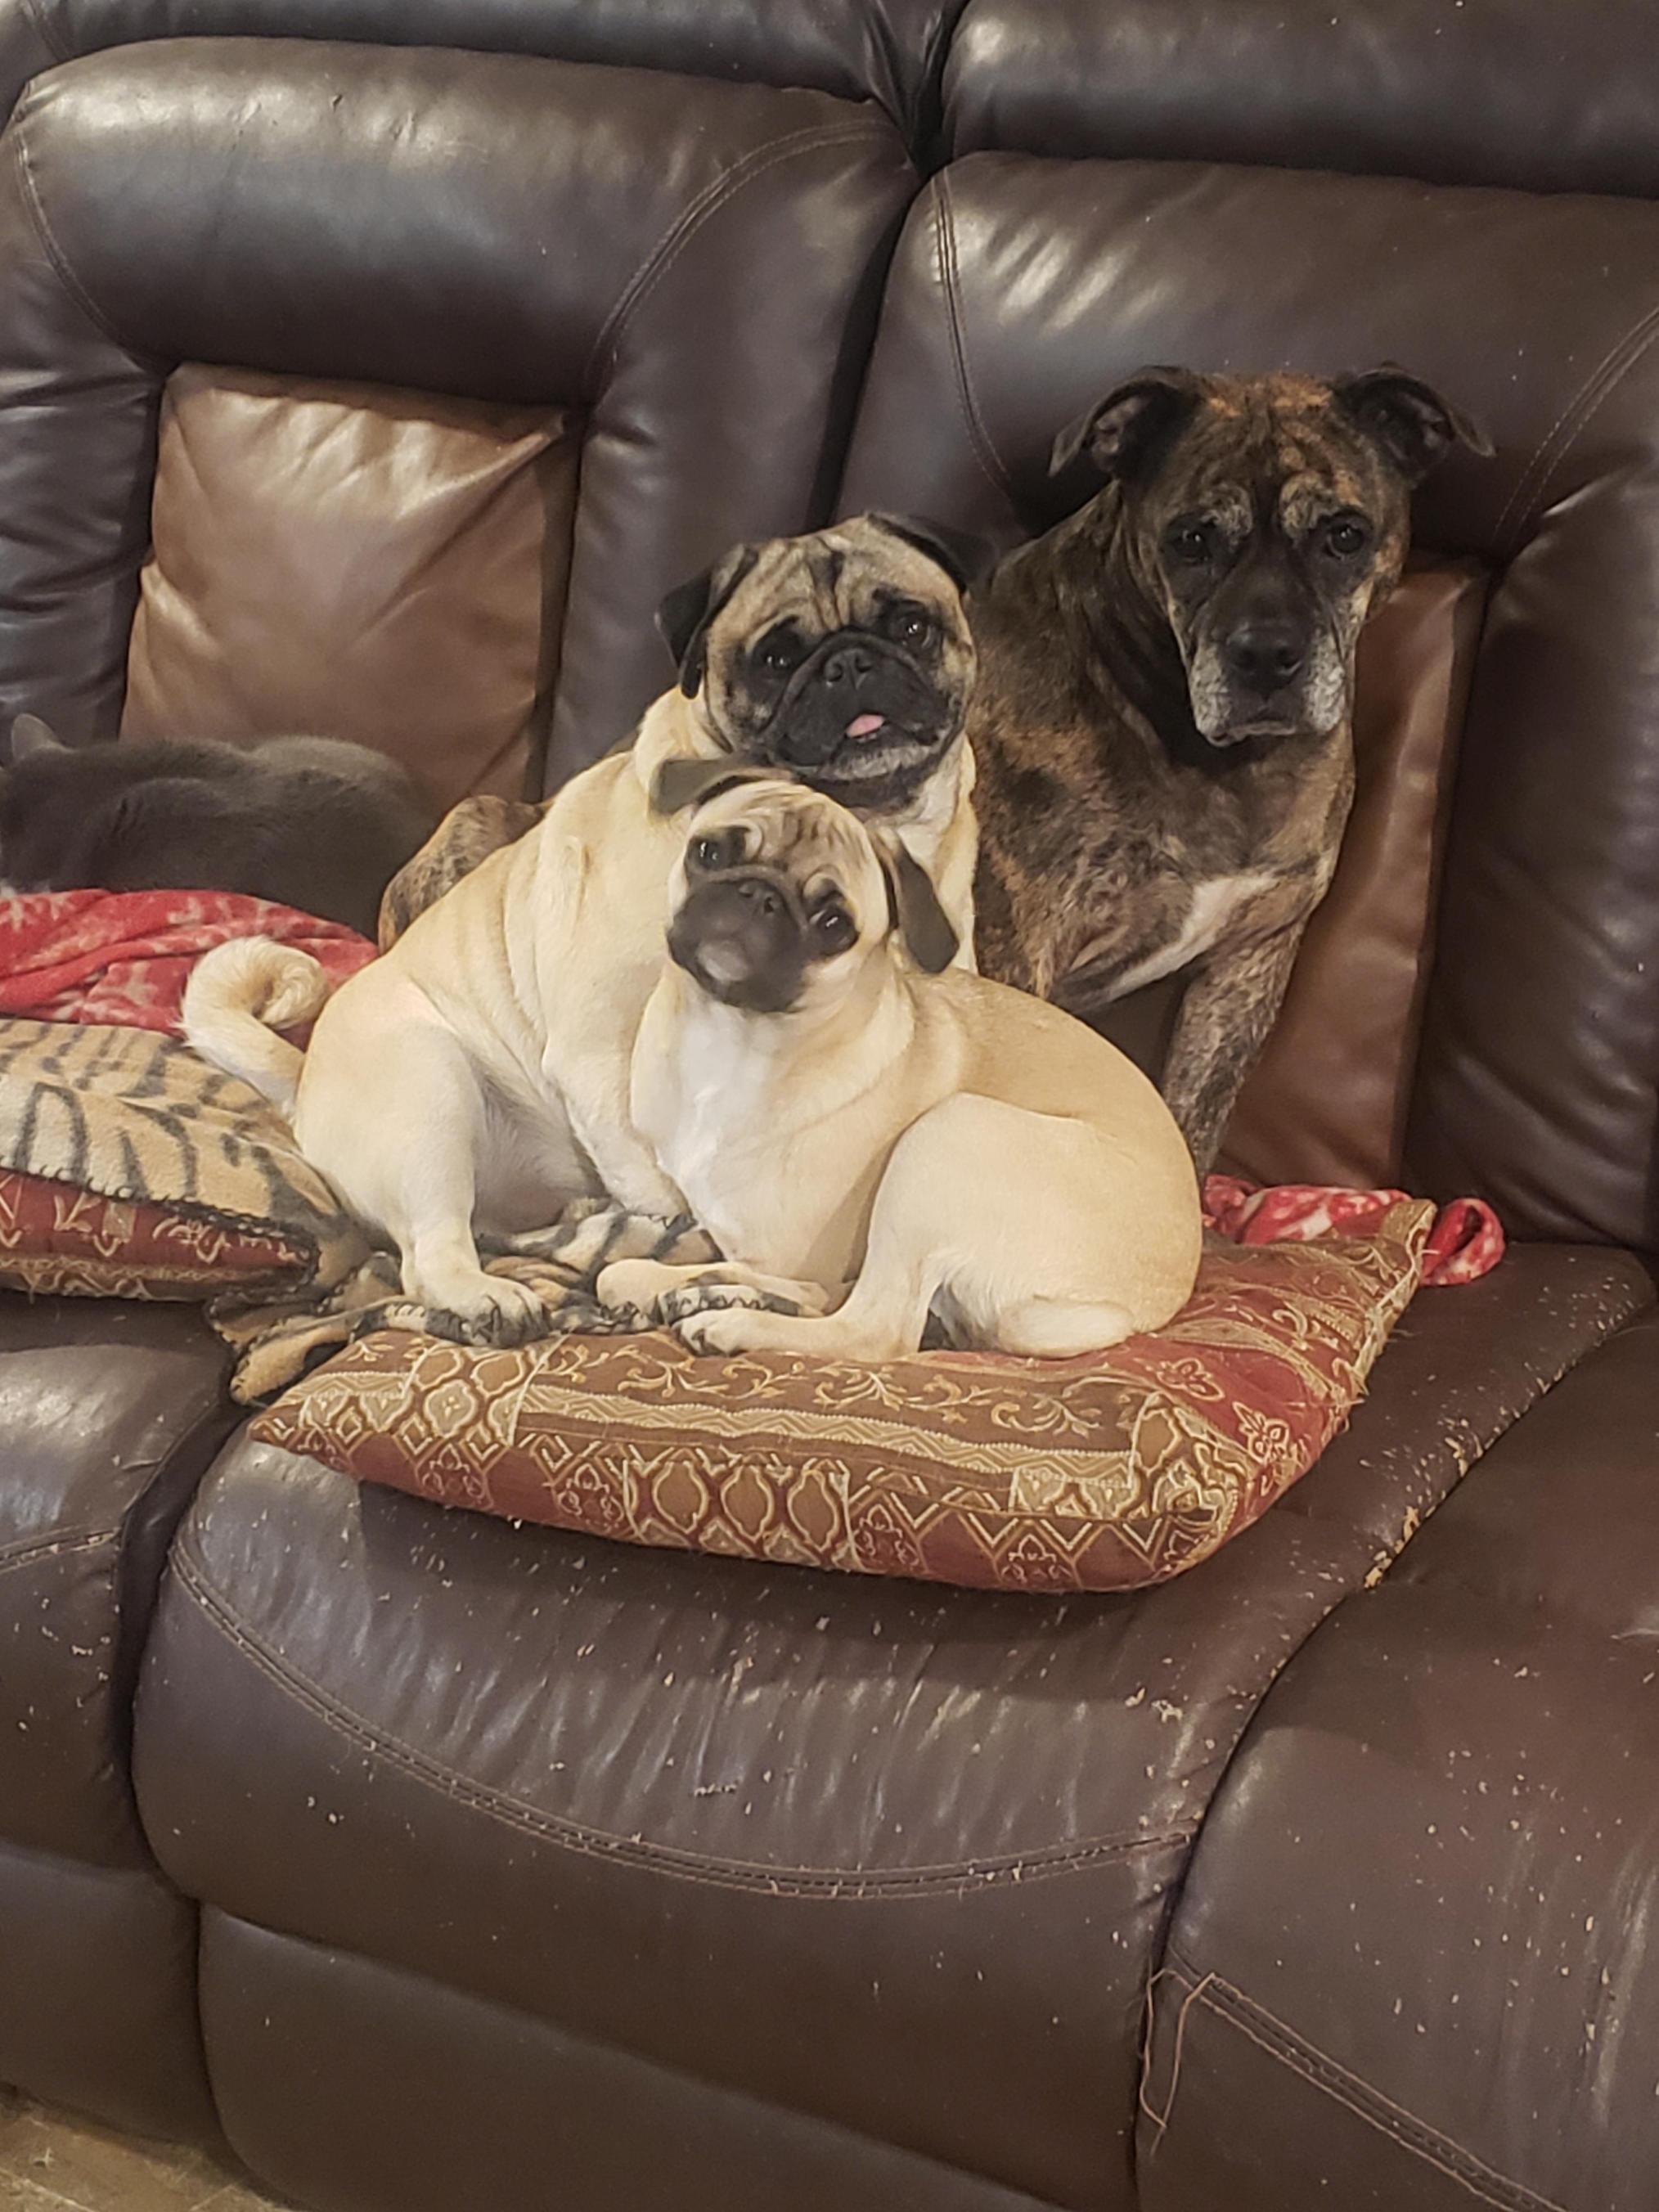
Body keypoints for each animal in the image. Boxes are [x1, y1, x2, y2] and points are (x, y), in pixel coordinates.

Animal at [184, 515, 985, 1346]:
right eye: (775, 658)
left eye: (912, 626)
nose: (851, 663)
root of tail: (305, 1076)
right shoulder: (605, 1060)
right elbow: (663, 1187)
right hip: (430, 1089)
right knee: (431, 1255)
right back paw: (492, 1296)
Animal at [594, 773, 1201, 1361]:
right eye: (709, 852)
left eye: (833, 924)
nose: (758, 894)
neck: (732, 1039)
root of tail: (1146, 1305)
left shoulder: (789, 1254)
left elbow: (799, 1282)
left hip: (946, 1135)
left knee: (872, 1327)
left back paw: (726, 1319)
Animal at [969, 365, 1491, 1171]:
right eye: (1192, 540)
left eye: (1344, 535)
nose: (1266, 654)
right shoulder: (1017, 946)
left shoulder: (1249, 962)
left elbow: (1193, 1121)